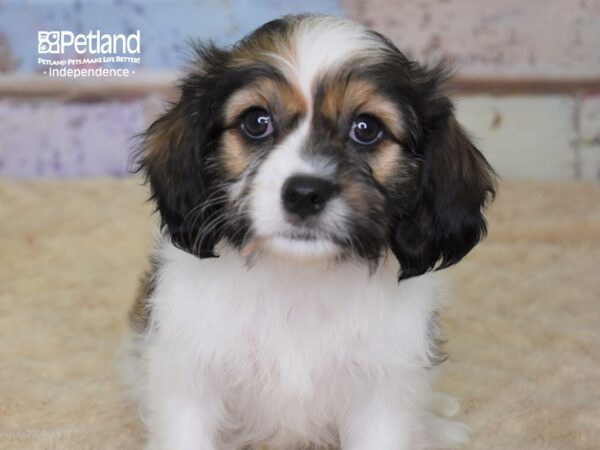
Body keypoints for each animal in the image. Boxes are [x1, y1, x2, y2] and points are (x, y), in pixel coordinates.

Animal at [124, 14, 494, 450]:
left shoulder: (382, 392)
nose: (304, 194)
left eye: (366, 128)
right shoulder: (189, 377)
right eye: (256, 122)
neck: (298, 279)